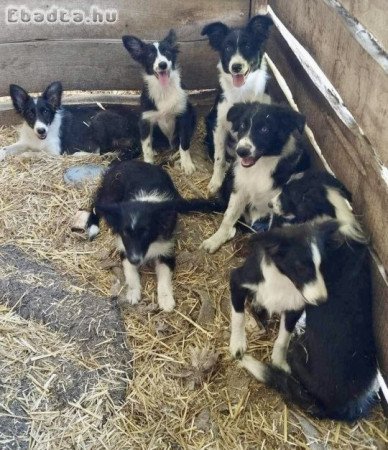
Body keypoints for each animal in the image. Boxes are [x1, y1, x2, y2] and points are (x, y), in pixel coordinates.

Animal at [0, 82, 140, 160]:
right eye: (30, 113)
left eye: (46, 111)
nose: (41, 131)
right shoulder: (26, 142)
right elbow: (7, 148)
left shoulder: (54, 151)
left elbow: (37, 154)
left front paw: (25, 155)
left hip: (99, 119)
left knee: (99, 151)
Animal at [87, 160, 221, 312]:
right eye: (125, 232)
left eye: (145, 232)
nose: (135, 260)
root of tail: (124, 162)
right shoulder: (125, 249)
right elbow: (130, 271)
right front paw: (133, 292)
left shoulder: (166, 249)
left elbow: (164, 275)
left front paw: (166, 300)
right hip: (110, 194)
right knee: (95, 204)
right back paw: (93, 227)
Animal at [202, 13, 274, 193]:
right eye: (227, 48)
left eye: (247, 46)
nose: (236, 67)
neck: (242, 91)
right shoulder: (218, 125)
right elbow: (219, 158)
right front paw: (216, 182)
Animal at [203, 102, 310, 255]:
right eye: (243, 125)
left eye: (265, 129)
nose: (241, 151)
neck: (261, 165)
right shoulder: (240, 189)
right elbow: (228, 217)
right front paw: (215, 239)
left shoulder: (278, 204)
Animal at [229, 223, 378, 424]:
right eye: (300, 268)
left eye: (323, 267)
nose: (322, 300)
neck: (283, 281)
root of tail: (338, 408)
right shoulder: (238, 280)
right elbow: (238, 316)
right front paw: (237, 344)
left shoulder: (295, 308)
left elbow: (283, 337)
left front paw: (278, 362)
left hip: (298, 349)